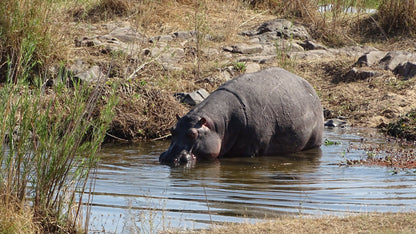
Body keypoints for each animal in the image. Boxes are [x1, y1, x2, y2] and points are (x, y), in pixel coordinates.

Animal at [160, 67, 324, 166]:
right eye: (172, 130)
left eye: (192, 134)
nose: (169, 158)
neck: (218, 125)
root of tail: (310, 87)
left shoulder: (251, 149)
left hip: (314, 140)